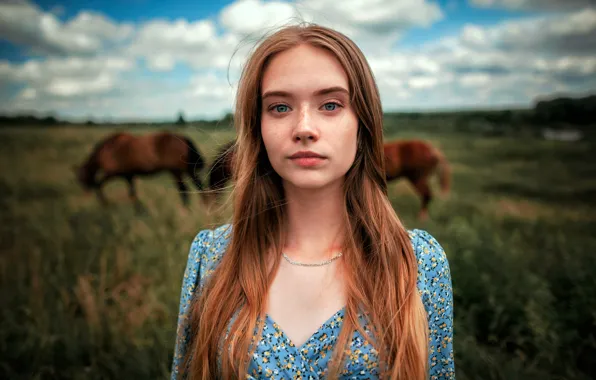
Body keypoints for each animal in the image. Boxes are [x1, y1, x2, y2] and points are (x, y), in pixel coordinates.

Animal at [73, 131, 208, 208]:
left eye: (81, 179)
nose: (85, 193)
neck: (108, 150)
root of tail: (183, 138)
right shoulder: (128, 176)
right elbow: (132, 193)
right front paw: (139, 210)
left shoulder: (113, 173)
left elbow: (99, 184)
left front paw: (105, 203)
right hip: (187, 170)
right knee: (198, 185)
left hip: (176, 171)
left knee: (184, 189)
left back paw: (186, 209)